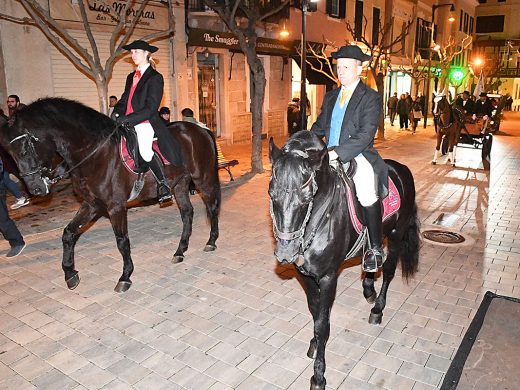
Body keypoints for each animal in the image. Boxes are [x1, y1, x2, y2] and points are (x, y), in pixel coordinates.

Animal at [0, 97, 219, 292]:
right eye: (9, 152)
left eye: (26, 148)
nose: (36, 188)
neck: (95, 153)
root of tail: (201, 129)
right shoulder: (92, 204)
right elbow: (68, 234)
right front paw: (70, 274)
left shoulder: (116, 207)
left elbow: (122, 241)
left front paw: (125, 276)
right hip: (180, 183)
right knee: (187, 213)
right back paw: (180, 250)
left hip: (203, 178)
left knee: (212, 207)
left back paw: (211, 242)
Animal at [268, 132, 418, 390]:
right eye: (271, 194)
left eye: (307, 198)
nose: (286, 253)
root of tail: (400, 169)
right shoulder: (305, 275)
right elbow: (316, 311)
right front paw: (315, 344)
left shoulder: (328, 277)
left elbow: (323, 324)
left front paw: (318, 375)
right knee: (373, 255)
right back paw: (368, 285)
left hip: (396, 235)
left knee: (389, 271)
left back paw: (377, 308)